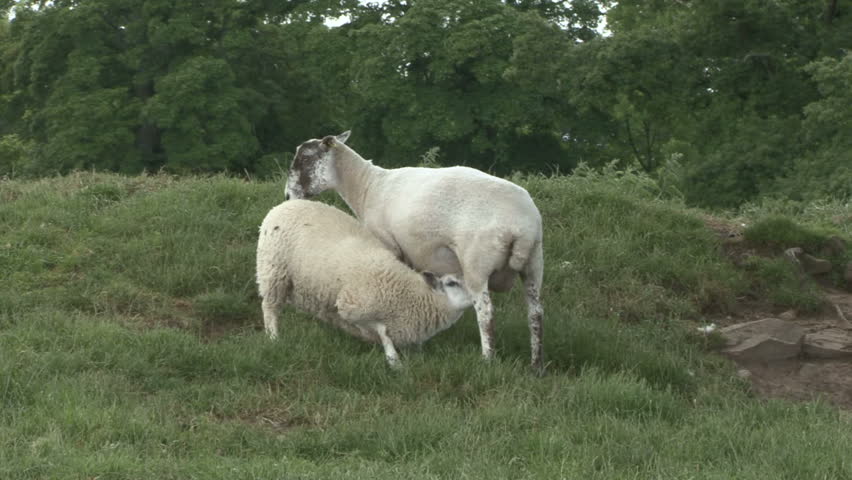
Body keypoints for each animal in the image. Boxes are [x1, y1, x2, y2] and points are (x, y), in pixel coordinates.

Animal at [256, 199, 474, 368]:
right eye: (452, 283)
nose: (477, 295)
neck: (411, 295)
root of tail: (284, 205)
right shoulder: (350, 307)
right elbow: (382, 332)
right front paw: (394, 361)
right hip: (273, 271)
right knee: (269, 307)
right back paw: (274, 338)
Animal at [284, 131, 545, 372]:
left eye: (304, 159)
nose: (287, 196)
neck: (367, 186)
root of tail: (520, 224)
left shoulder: (387, 243)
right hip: (534, 262)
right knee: (535, 313)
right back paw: (536, 366)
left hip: (476, 263)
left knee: (486, 313)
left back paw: (487, 360)